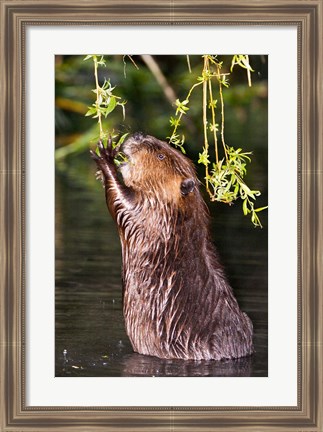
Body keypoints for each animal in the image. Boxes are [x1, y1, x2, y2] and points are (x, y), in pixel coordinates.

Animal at [90, 132, 253, 362]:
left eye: (160, 155)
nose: (138, 135)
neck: (178, 216)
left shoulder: (150, 214)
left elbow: (121, 202)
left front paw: (106, 156)